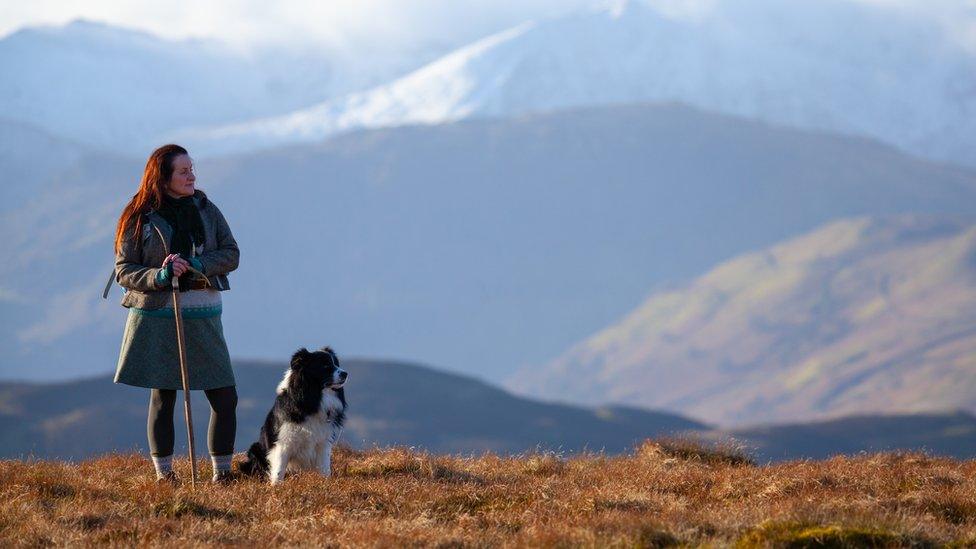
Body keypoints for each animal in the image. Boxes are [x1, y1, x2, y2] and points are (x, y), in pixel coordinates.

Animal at [239, 344, 346, 482]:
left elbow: (325, 468)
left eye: (336, 364)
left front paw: (326, 483)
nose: (345, 373)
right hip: (256, 449)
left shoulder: (323, 441)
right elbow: (279, 470)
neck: (313, 399)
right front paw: (276, 486)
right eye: (325, 365)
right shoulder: (283, 441)